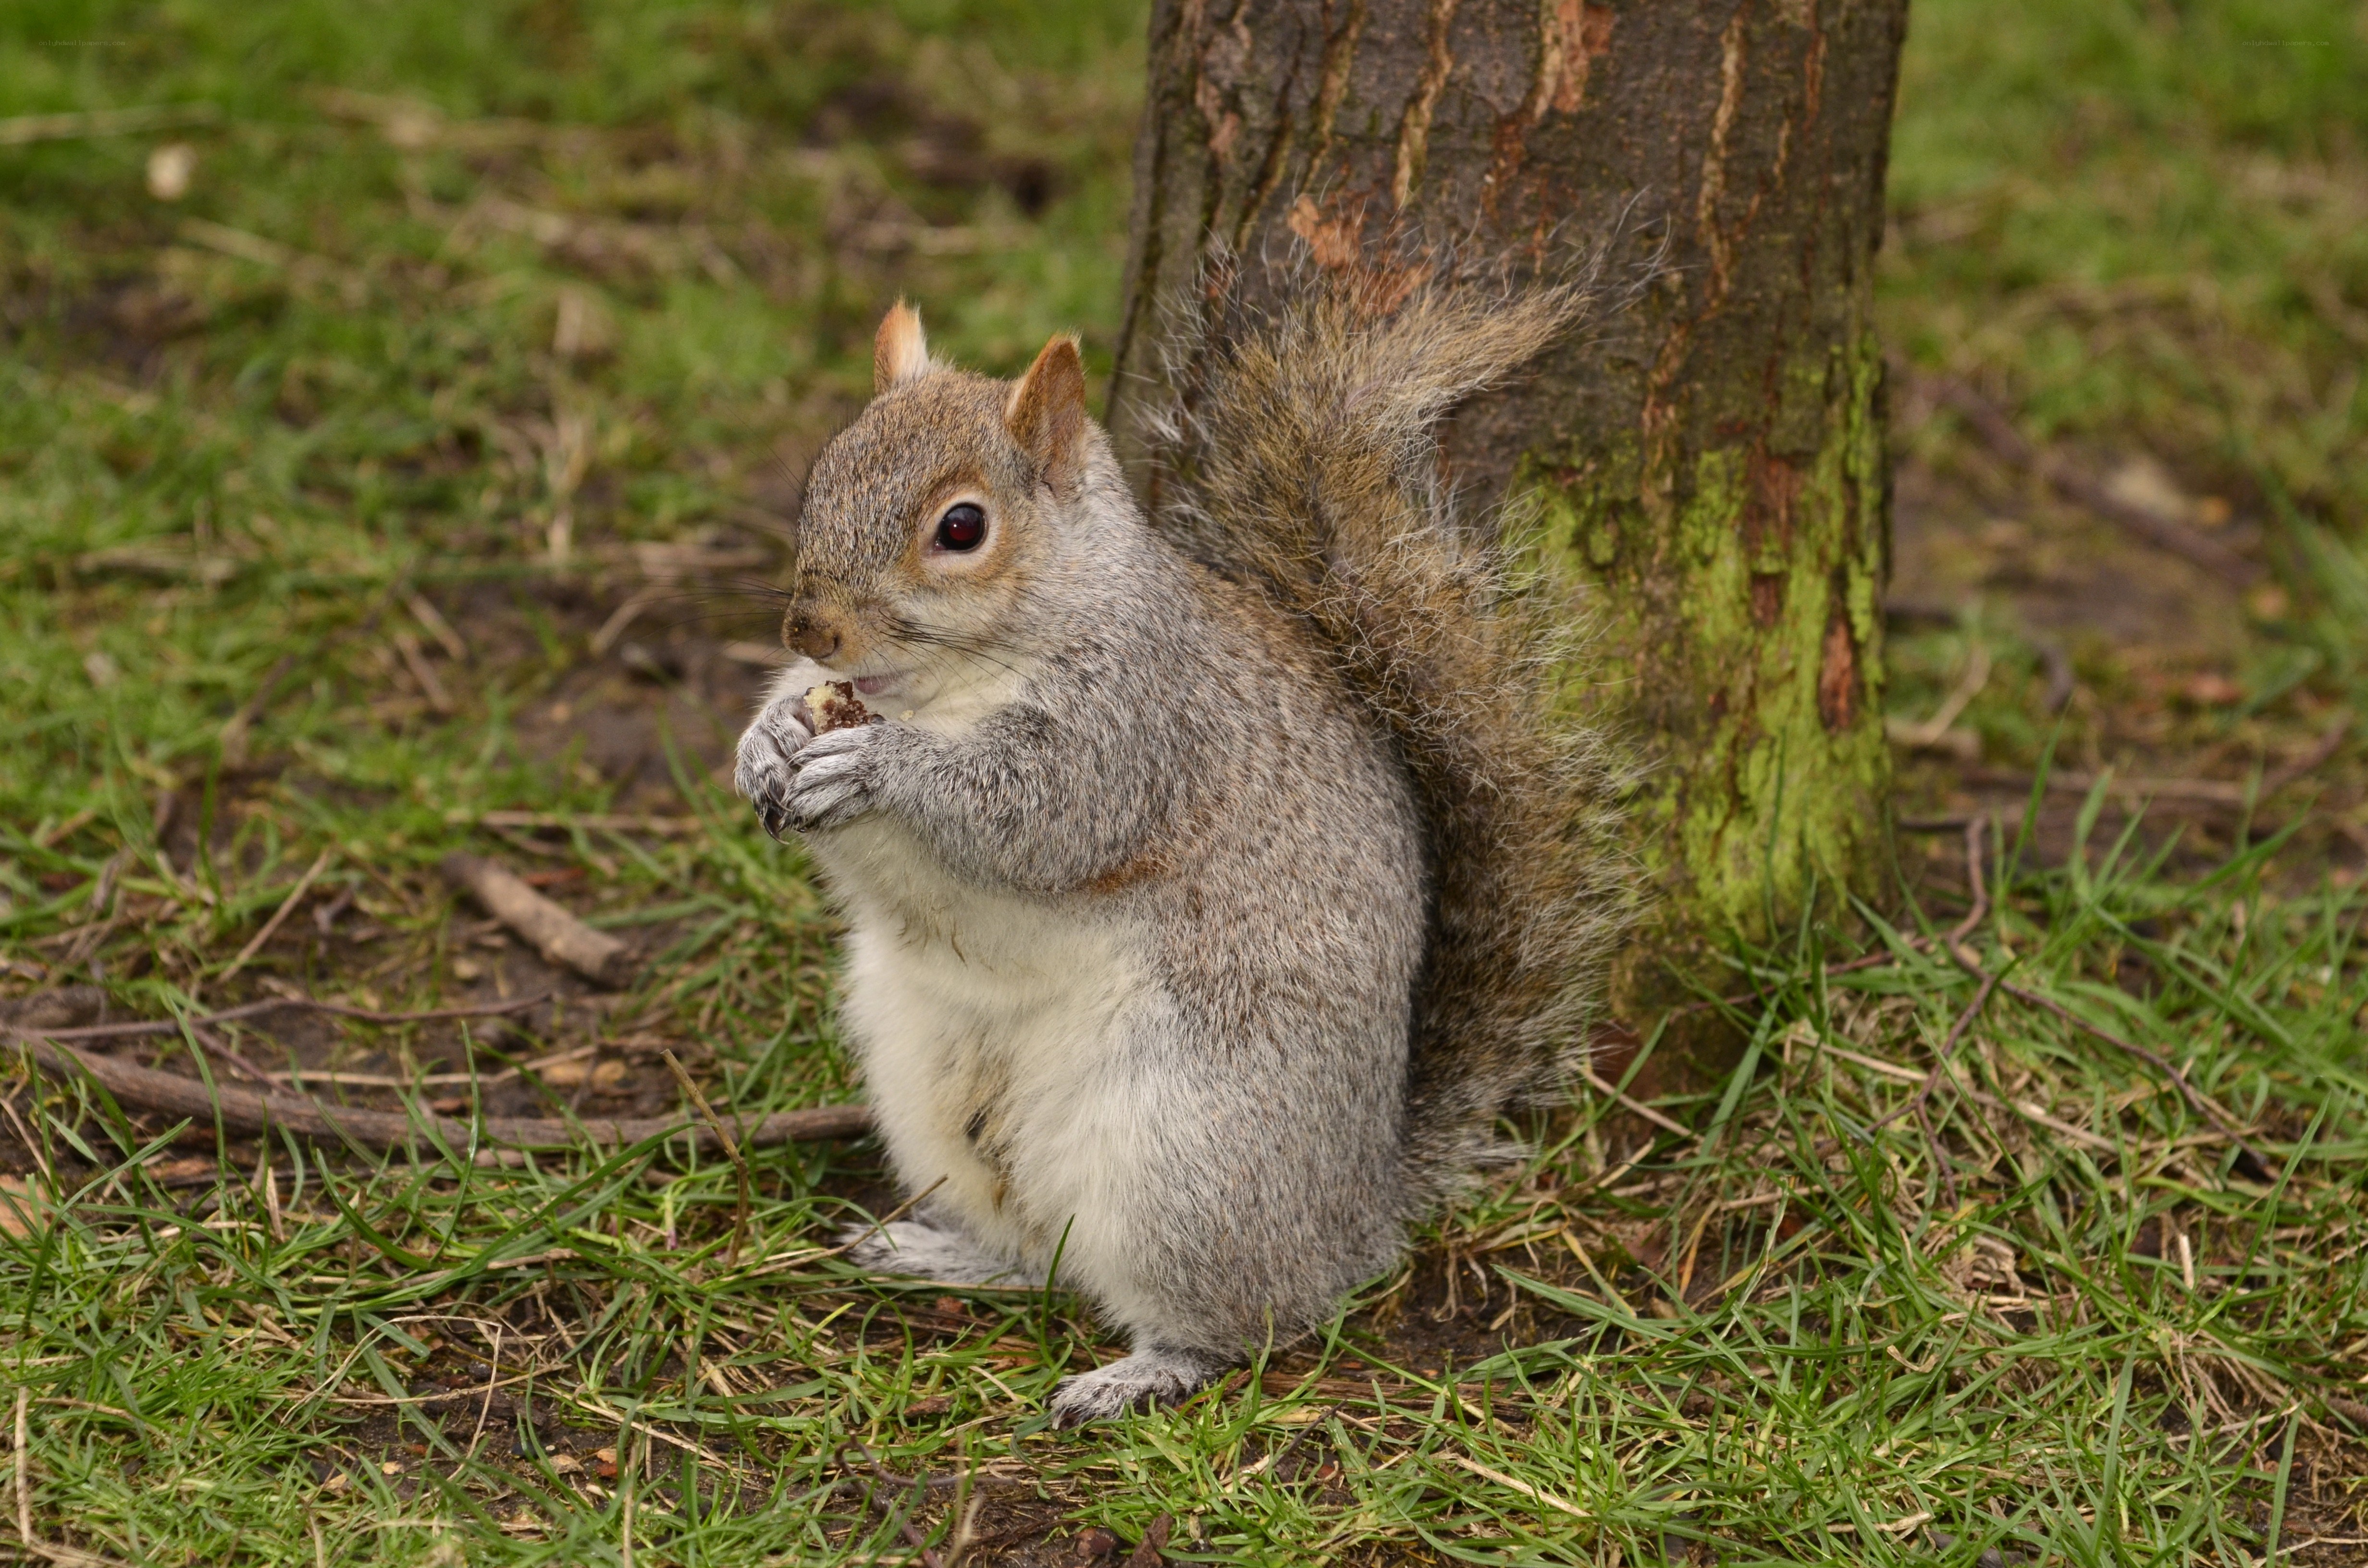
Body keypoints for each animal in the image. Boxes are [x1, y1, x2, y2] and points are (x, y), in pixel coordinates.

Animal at [734, 271, 1626, 1425]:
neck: (941, 686)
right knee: (1039, 1255)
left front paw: (879, 768)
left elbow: (1038, 812)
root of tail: (1357, 1211)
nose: (811, 628)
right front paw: (765, 744)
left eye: (961, 527)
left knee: (1245, 1321)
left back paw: (1141, 1370)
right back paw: (942, 1252)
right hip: (926, 1089)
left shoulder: (1139, 728)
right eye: (823, 471)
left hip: (1185, 1155)